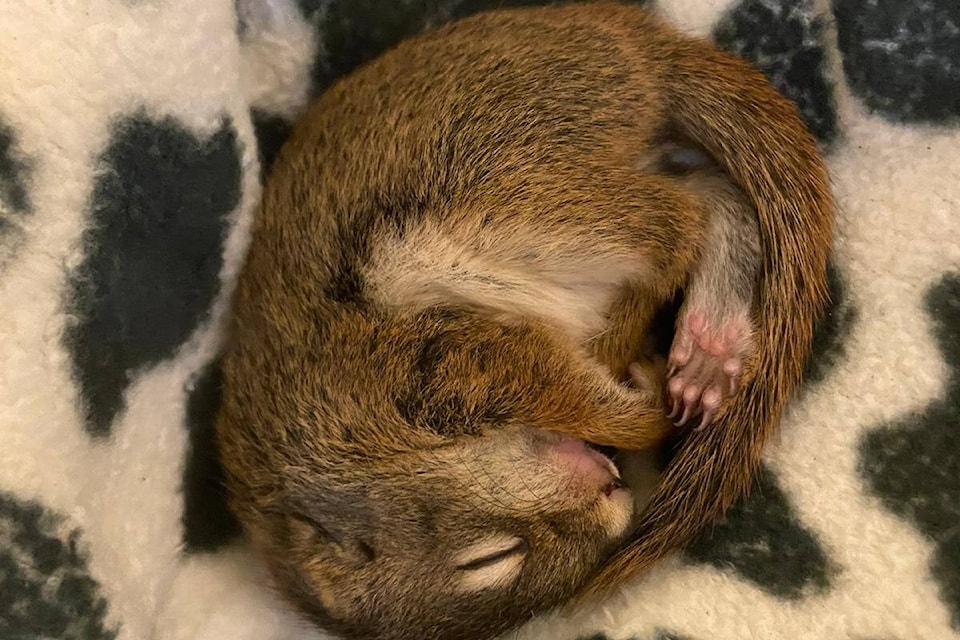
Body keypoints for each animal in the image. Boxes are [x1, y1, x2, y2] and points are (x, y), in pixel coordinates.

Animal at [216, 2, 832, 636]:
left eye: (489, 558)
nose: (613, 490)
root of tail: (637, 44)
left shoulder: (430, 370)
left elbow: (585, 398)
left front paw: (642, 399)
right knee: (710, 196)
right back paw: (707, 349)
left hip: (487, 197)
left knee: (681, 217)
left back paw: (670, 345)